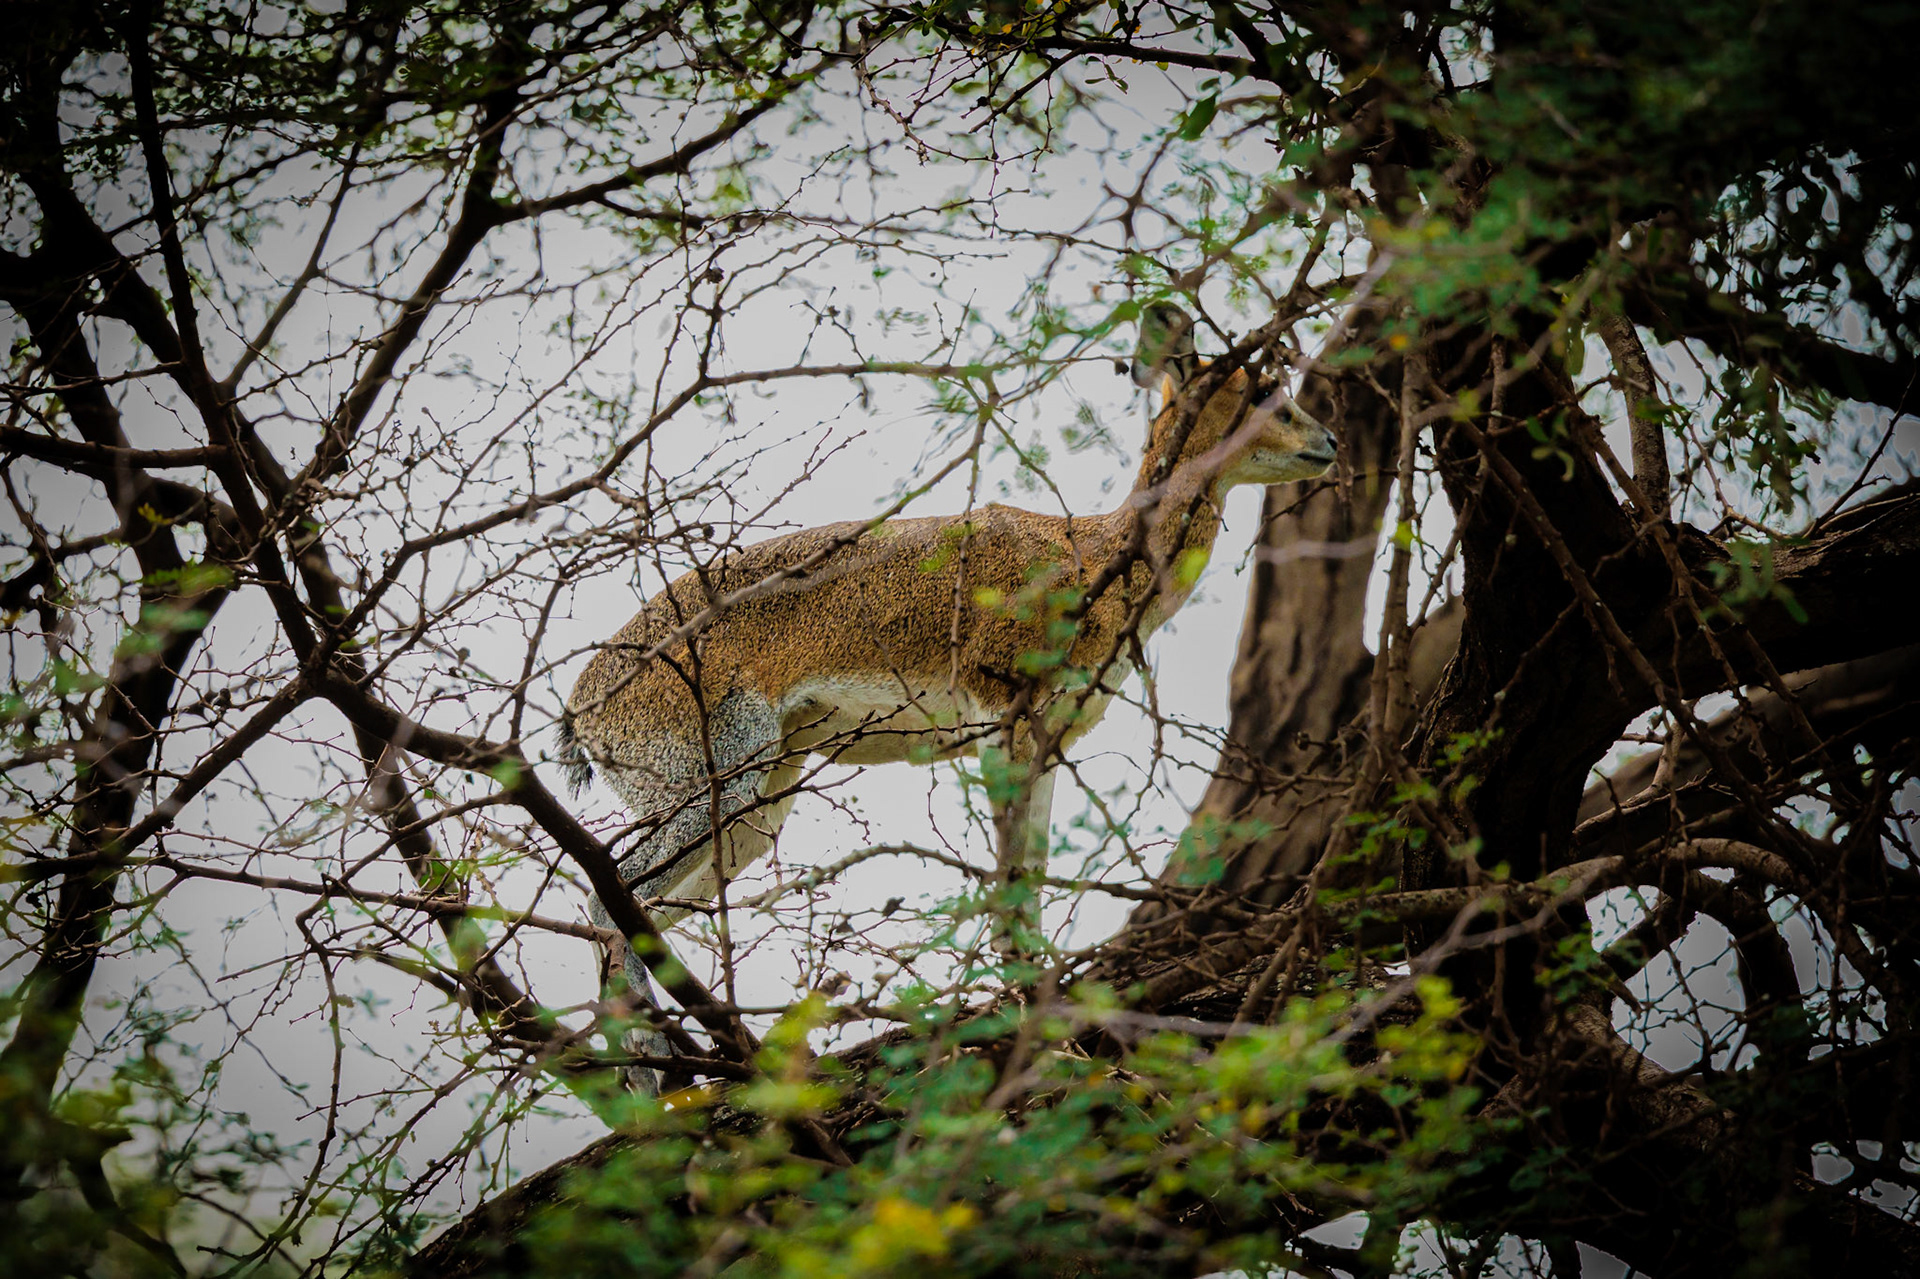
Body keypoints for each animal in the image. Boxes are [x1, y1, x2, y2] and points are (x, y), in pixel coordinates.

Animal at [561, 304, 1336, 1090]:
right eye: (1264, 391)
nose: (1329, 442)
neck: (1093, 556)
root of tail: (581, 704)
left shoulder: (1047, 745)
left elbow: (1033, 872)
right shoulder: (1000, 724)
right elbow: (1008, 882)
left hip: (759, 805)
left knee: (638, 912)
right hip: (710, 784)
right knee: (606, 896)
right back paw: (656, 1073)